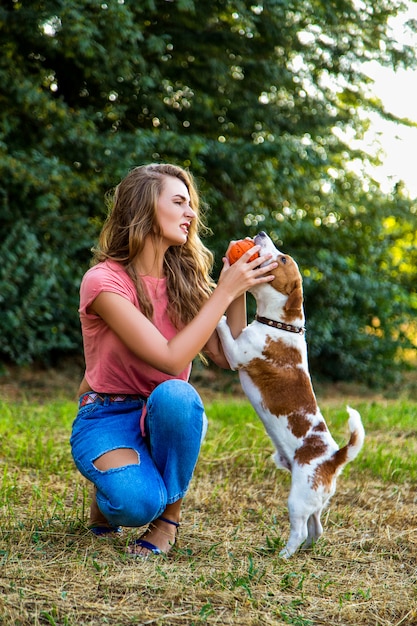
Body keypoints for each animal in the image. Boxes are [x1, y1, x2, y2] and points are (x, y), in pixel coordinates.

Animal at [218, 232, 364, 560]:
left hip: (296, 500)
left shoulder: (235, 353)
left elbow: (220, 325)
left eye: (283, 258)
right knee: (317, 529)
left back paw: (284, 554)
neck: (280, 325)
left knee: (299, 531)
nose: (261, 233)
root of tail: (334, 459)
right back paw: (305, 550)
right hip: (313, 503)